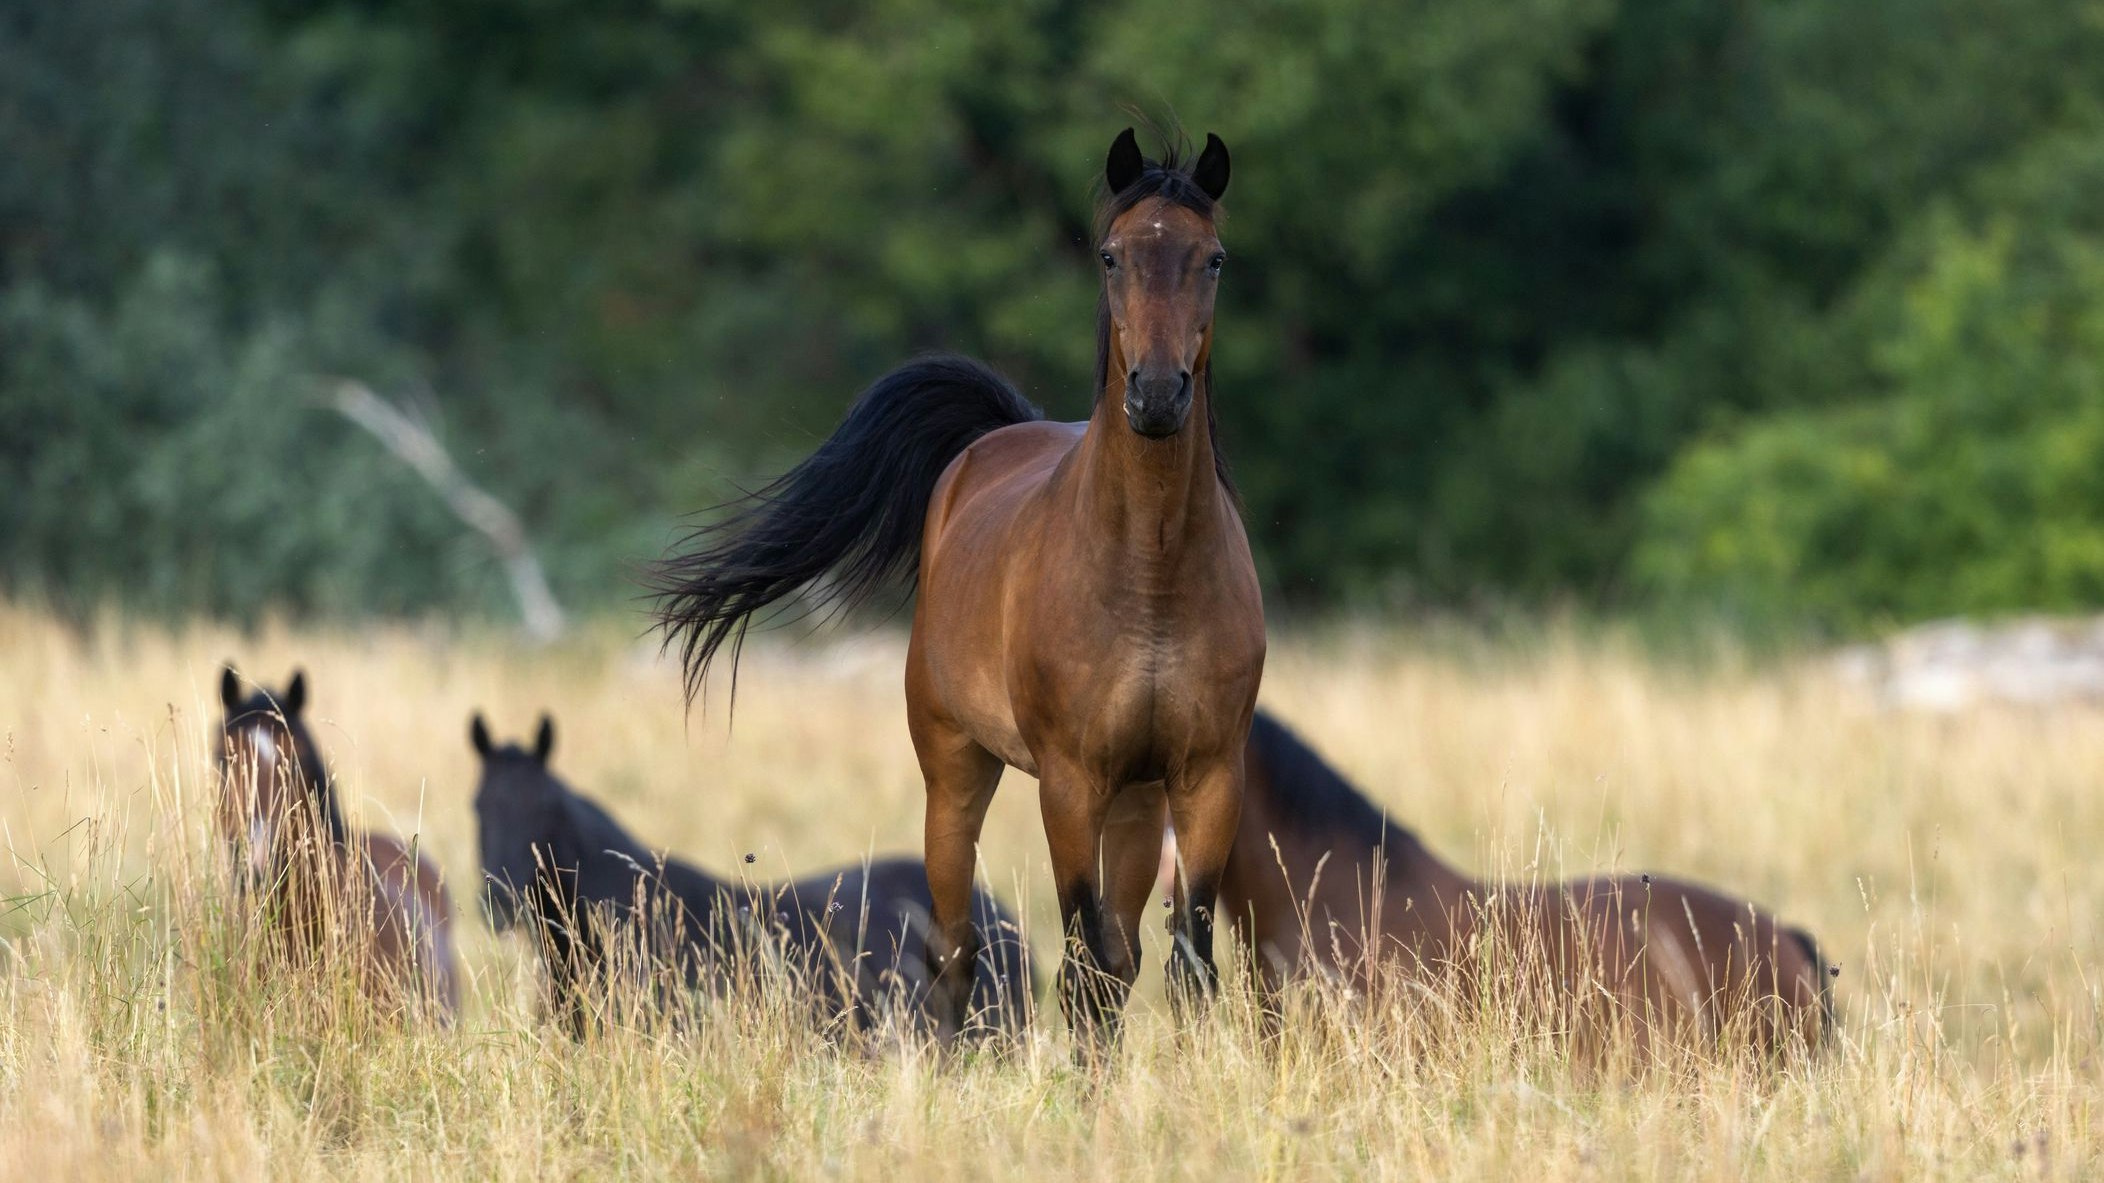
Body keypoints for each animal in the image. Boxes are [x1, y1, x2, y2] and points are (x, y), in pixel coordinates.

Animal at [648, 126, 1253, 1039]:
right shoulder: (1069, 784)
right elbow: (1079, 961)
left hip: (1138, 801)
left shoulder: (1207, 777)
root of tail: (993, 440)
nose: (1155, 394)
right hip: (955, 774)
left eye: (1211, 258)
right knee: (957, 949)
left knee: (1118, 959)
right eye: (1111, 255)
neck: (1150, 576)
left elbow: (1184, 962)